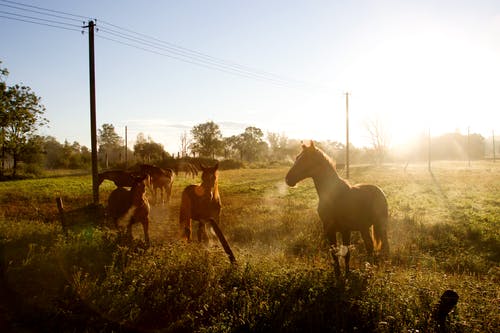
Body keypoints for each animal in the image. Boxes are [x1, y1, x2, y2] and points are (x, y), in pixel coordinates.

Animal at [286, 140, 386, 274]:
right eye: (297, 157)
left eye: (306, 159)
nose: (288, 179)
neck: (334, 196)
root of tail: (379, 190)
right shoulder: (329, 229)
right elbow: (334, 253)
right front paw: (338, 274)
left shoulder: (346, 230)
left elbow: (346, 254)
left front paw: (347, 274)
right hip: (364, 227)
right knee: (369, 246)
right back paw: (368, 268)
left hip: (380, 225)